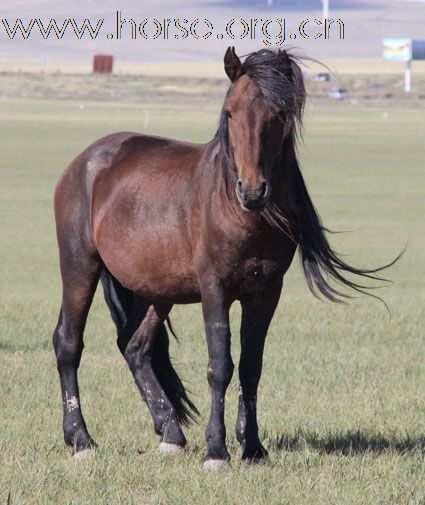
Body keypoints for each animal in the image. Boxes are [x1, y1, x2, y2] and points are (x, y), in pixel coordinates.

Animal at [52, 48, 394, 468]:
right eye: (230, 112)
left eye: (279, 113)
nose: (253, 190)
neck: (240, 213)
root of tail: (85, 161)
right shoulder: (215, 290)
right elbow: (220, 366)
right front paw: (216, 450)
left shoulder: (266, 293)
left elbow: (250, 367)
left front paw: (253, 447)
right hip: (79, 265)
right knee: (69, 343)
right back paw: (81, 440)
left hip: (155, 291)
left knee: (135, 346)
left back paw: (170, 433)